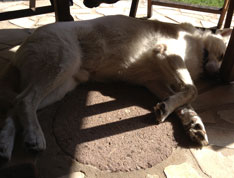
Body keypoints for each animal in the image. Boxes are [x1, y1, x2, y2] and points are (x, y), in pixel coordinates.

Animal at [0, 14, 231, 160]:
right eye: (223, 55)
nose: (219, 77)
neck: (200, 46)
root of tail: (22, 47)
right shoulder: (168, 53)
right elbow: (192, 90)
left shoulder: (155, 82)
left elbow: (183, 102)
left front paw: (192, 123)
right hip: (62, 63)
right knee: (24, 99)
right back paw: (34, 136)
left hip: (61, 86)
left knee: (15, 105)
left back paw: (5, 143)